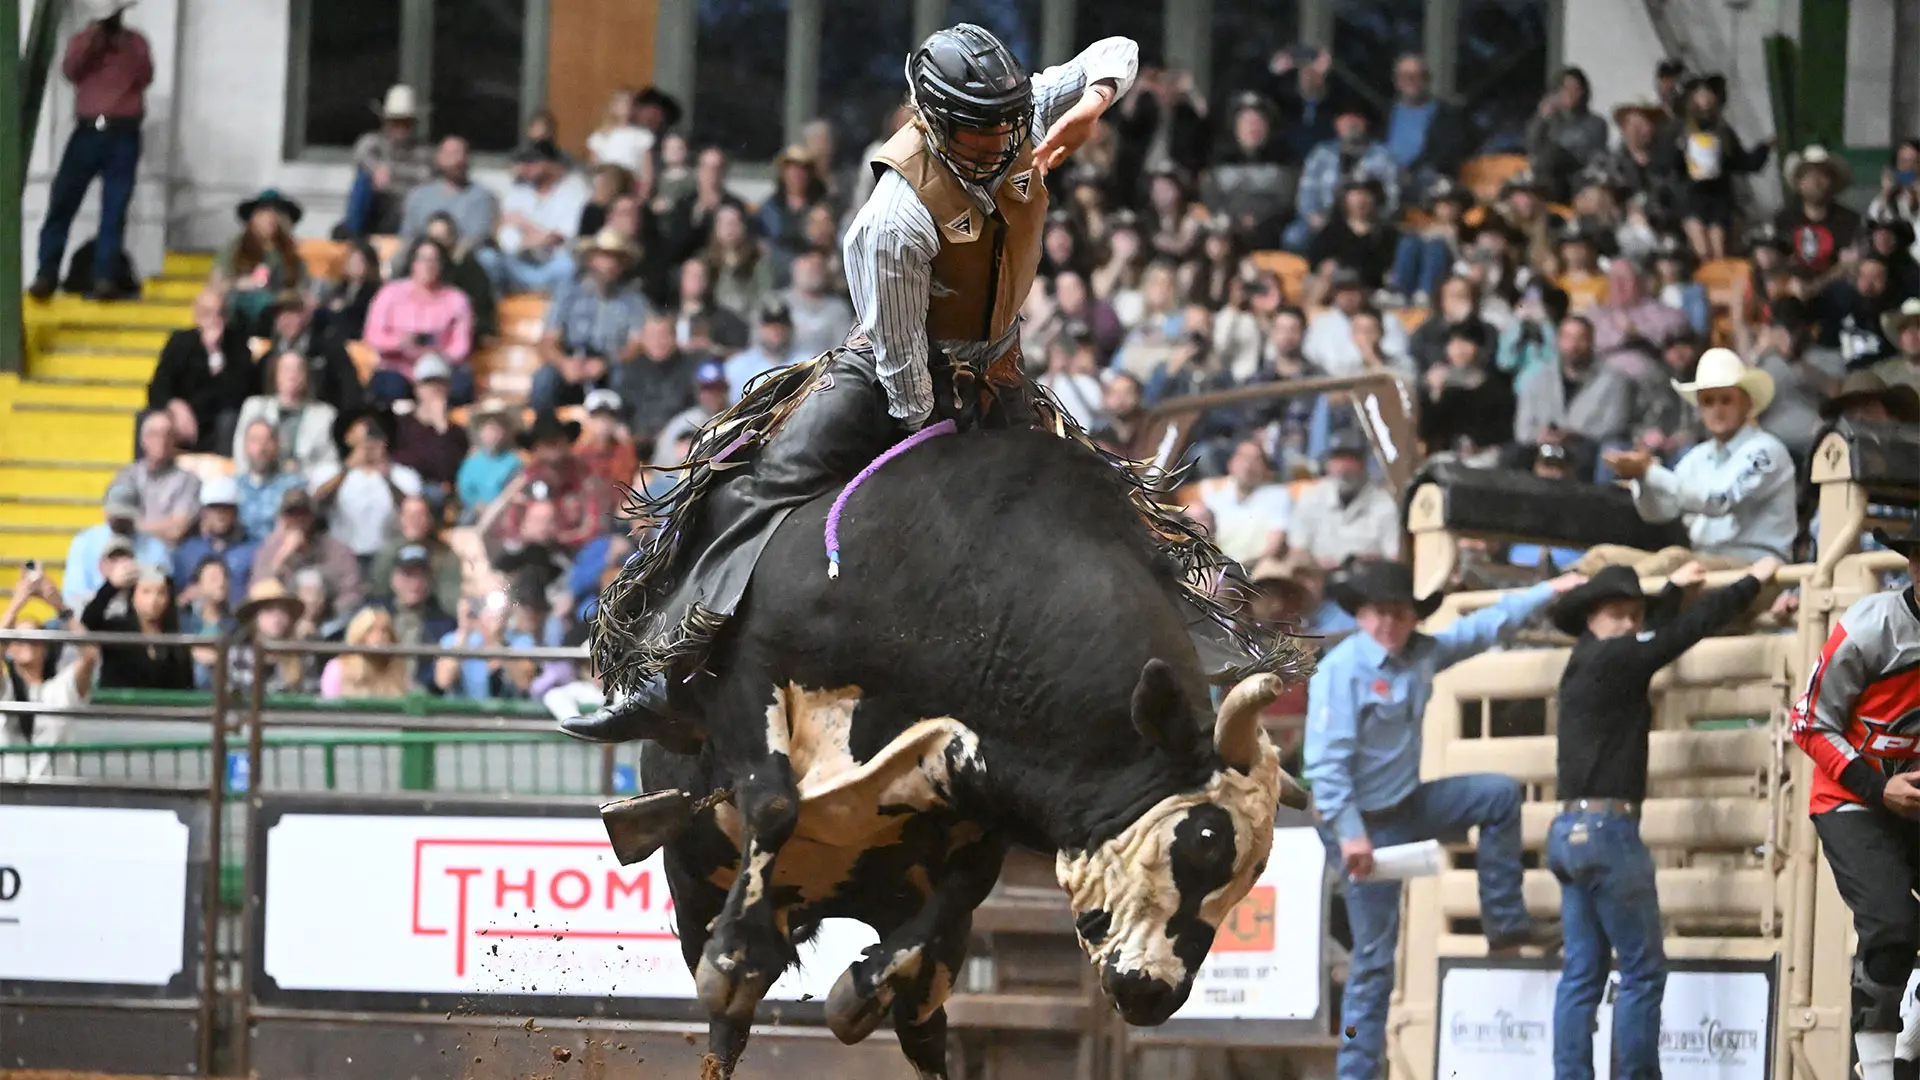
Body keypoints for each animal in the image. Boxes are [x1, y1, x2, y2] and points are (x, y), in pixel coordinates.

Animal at [606, 426, 1313, 1076]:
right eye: (1204, 840)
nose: (1155, 994)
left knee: (924, 1027)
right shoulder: (754, 679)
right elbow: (775, 804)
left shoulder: (985, 804)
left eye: (1254, 872)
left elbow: (958, 896)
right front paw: (739, 959)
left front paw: (858, 992)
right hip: (694, 882)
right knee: (727, 1025)